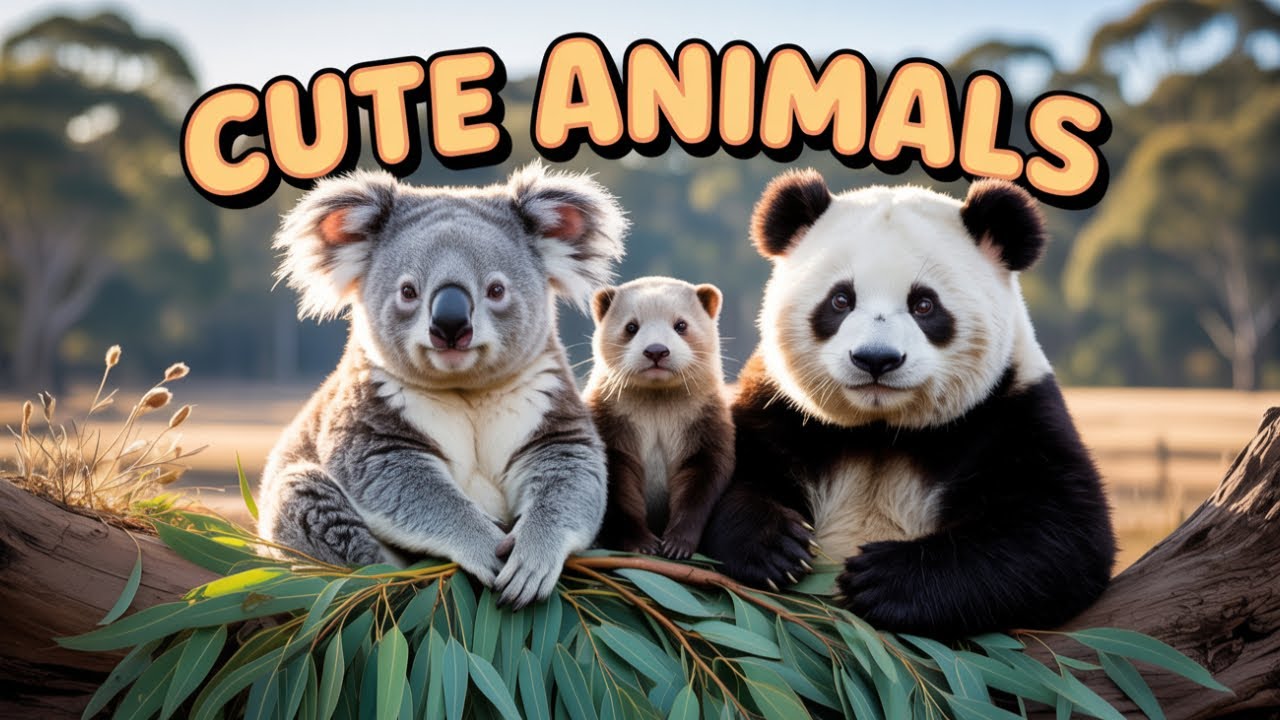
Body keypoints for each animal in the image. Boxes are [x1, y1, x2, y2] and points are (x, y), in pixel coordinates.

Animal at [701, 169, 1116, 637]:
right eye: (841, 299)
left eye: (924, 304)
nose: (876, 359)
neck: (881, 429)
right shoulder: (781, 408)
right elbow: (722, 474)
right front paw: (775, 546)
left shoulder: (1010, 410)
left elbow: (1056, 534)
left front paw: (881, 579)